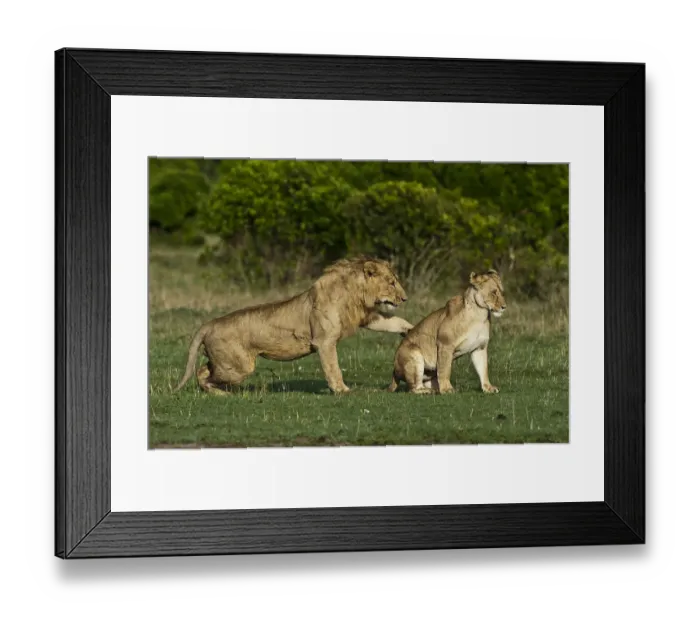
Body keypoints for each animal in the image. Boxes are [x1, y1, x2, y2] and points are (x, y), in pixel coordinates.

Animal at [174, 256, 413, 395]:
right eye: (392, 282)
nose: (405, 299)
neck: (355, 296)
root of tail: (210, 323)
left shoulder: (367, 318)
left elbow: (395, 323)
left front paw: (412, 331)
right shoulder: (324, 341)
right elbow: (333, 367)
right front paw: (342, 390)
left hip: (227, 363)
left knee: (204, 369)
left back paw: (220, 393)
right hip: (239, 366)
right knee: (202, 373)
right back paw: (218, 392)